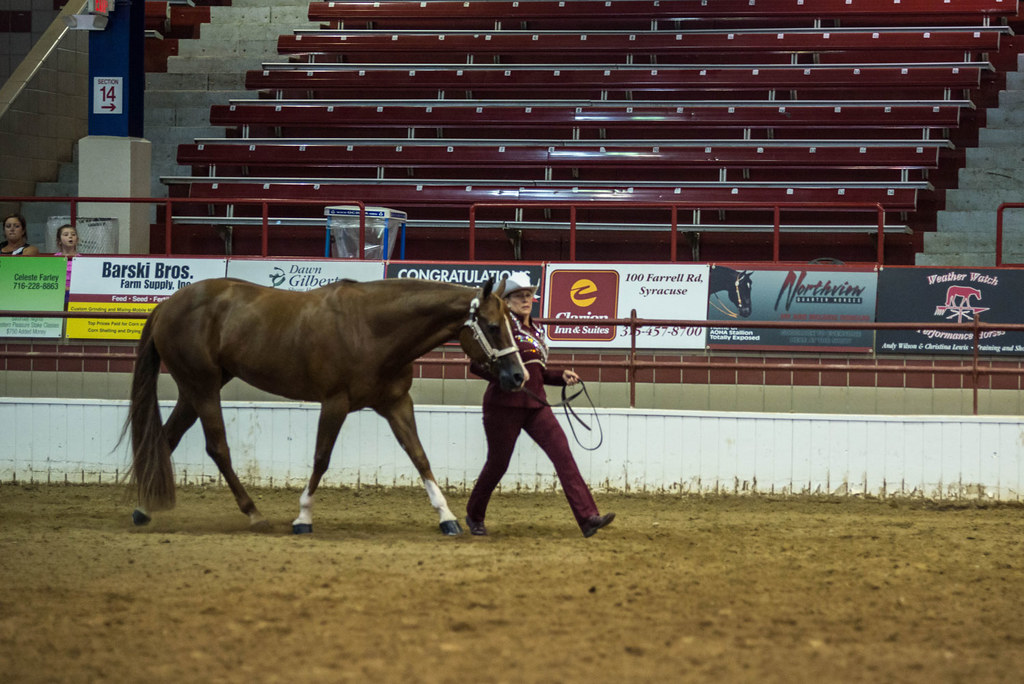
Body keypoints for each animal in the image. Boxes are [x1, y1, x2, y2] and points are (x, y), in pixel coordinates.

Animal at [123, 276, 526, 536]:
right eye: (493, 326)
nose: (518, 376)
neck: (371, 328)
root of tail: (166, 305)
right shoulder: (335, 403)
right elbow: (321, 457)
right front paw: (303, 517)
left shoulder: (396, 403)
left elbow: (419, 456)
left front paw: (447, 516)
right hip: (203, 387)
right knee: (217, 448)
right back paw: (254, 515)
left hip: (196, 389)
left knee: (166, 438)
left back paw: (143, 509)